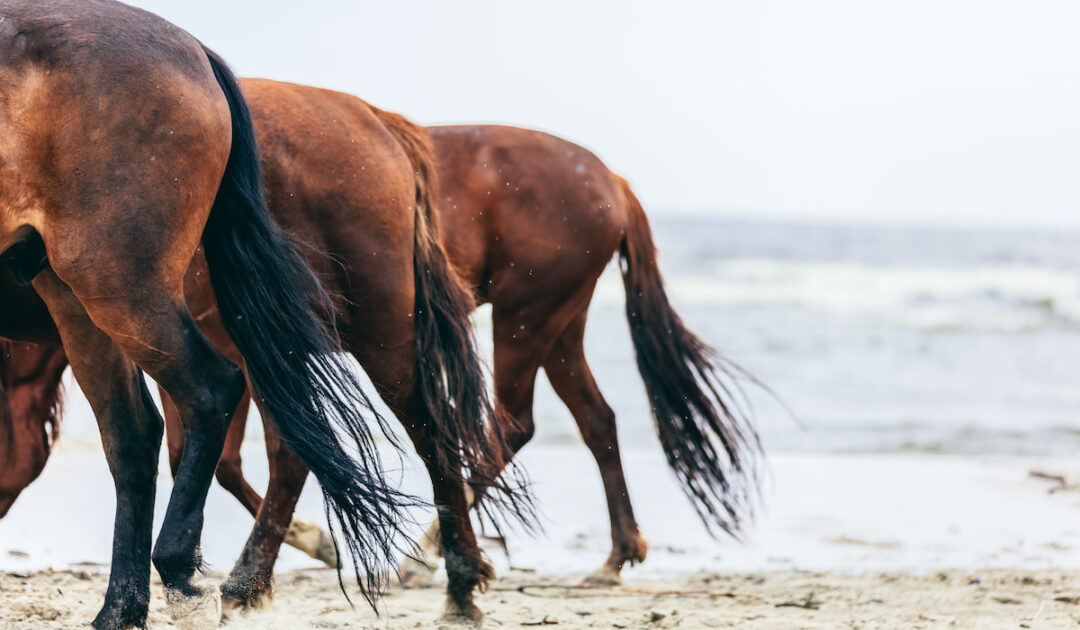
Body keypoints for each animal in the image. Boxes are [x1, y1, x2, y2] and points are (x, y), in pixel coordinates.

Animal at [0, 77, 533, 623]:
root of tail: (372, 116)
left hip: (378, 334)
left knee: (430, 431)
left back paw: (458, 582)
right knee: (294, 451)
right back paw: (252, 579)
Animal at [1, 121, 763, 591]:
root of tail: (610, 179)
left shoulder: (220, 347)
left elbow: (223, 456)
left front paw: (306, 543)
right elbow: (232, 458)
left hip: (526, 319)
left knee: (510, 426)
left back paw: (426, 554)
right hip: (561, 325)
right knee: (596, 421)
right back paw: (612, 554)